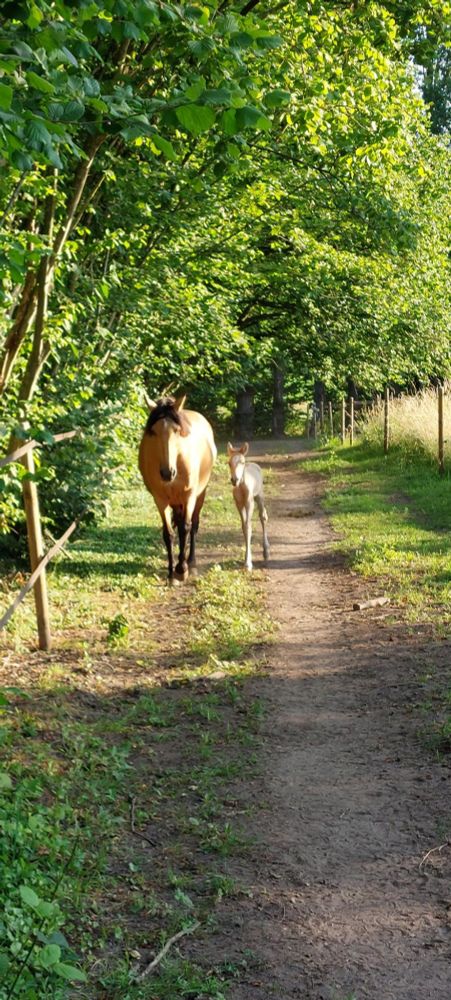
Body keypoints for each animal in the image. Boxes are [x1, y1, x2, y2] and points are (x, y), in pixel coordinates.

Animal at [139, 395, 217, 581]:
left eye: (176, 430)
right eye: (153, 432)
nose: (167, 473)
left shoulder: (189, 496)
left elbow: (185, 528)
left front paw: (182, 569)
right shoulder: (160, 499)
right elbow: (168, 533)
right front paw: (171, 573)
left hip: (200, 494)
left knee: (193, 524)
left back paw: (191, 562)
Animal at [227, 442, 270, 571]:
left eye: (242, 462)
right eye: (229, 463)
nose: (234, 479)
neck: (241, 487)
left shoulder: (249, 502)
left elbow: (248, 526)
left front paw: (248, 563)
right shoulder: (239, 504)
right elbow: (244, 527)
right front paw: (247, 560)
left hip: (259, 496)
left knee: (263, 516)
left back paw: (266, 552)